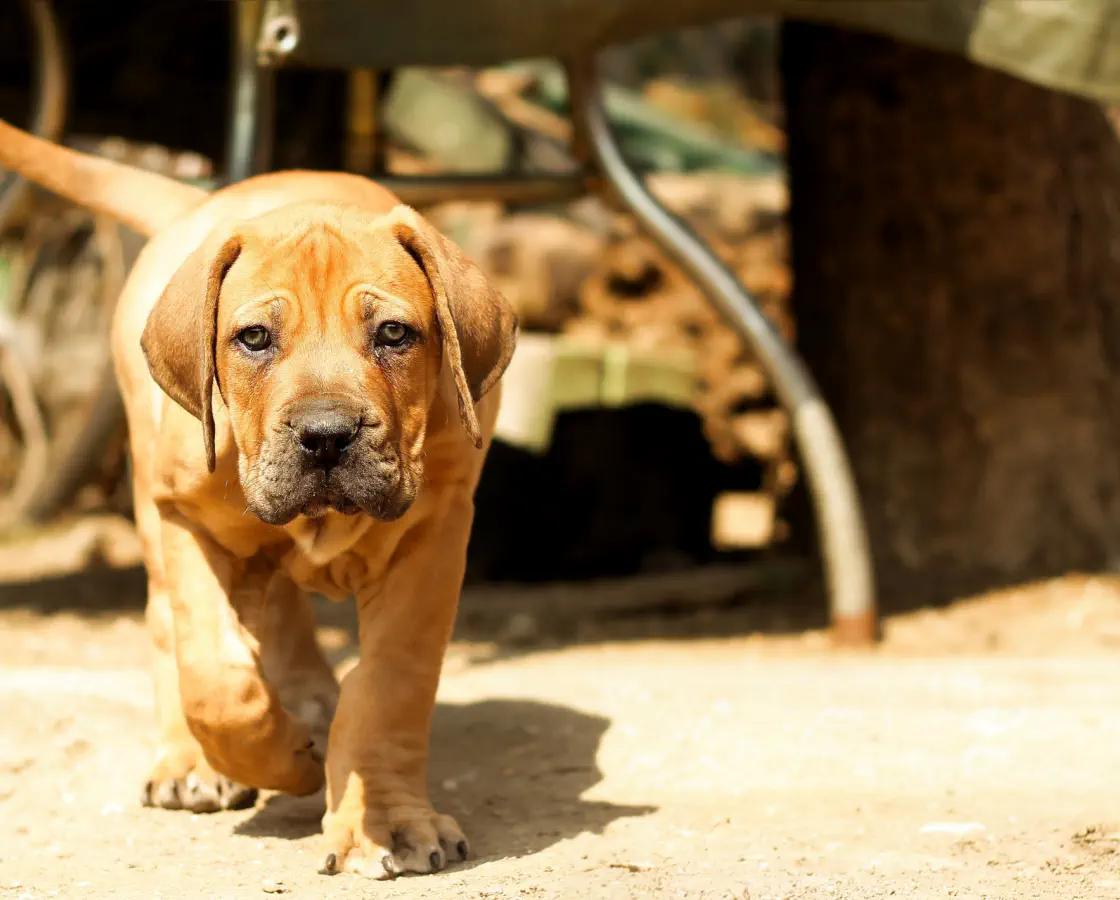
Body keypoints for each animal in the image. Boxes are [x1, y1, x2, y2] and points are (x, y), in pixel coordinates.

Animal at [0, 121, 517, 877]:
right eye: (254, 339)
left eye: (393, 334)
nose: (326, 436)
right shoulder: (187, 520)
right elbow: (218, 679)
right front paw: (285, 759)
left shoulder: (434, 534)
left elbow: (389, 686)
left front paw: (387, 822)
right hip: (151, 502)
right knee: (170, 624)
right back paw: (194, 761)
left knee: (284, 610)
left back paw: (308, 698)